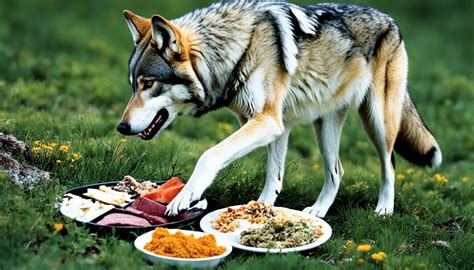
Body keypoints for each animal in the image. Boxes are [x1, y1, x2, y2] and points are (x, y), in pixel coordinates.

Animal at [116, 1, 442, 217]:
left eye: (148, 84)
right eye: (132, 85)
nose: (121, 127)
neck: (237, 49)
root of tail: (389, 19)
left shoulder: (268, 121)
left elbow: (210, 154)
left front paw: (185, 196)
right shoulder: (275, 125)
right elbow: (273, 175)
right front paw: (260, 210)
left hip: (378, 122)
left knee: (389, 166)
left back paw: (384, 209)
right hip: (325, 127)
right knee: (337, 171)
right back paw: (317, 212)